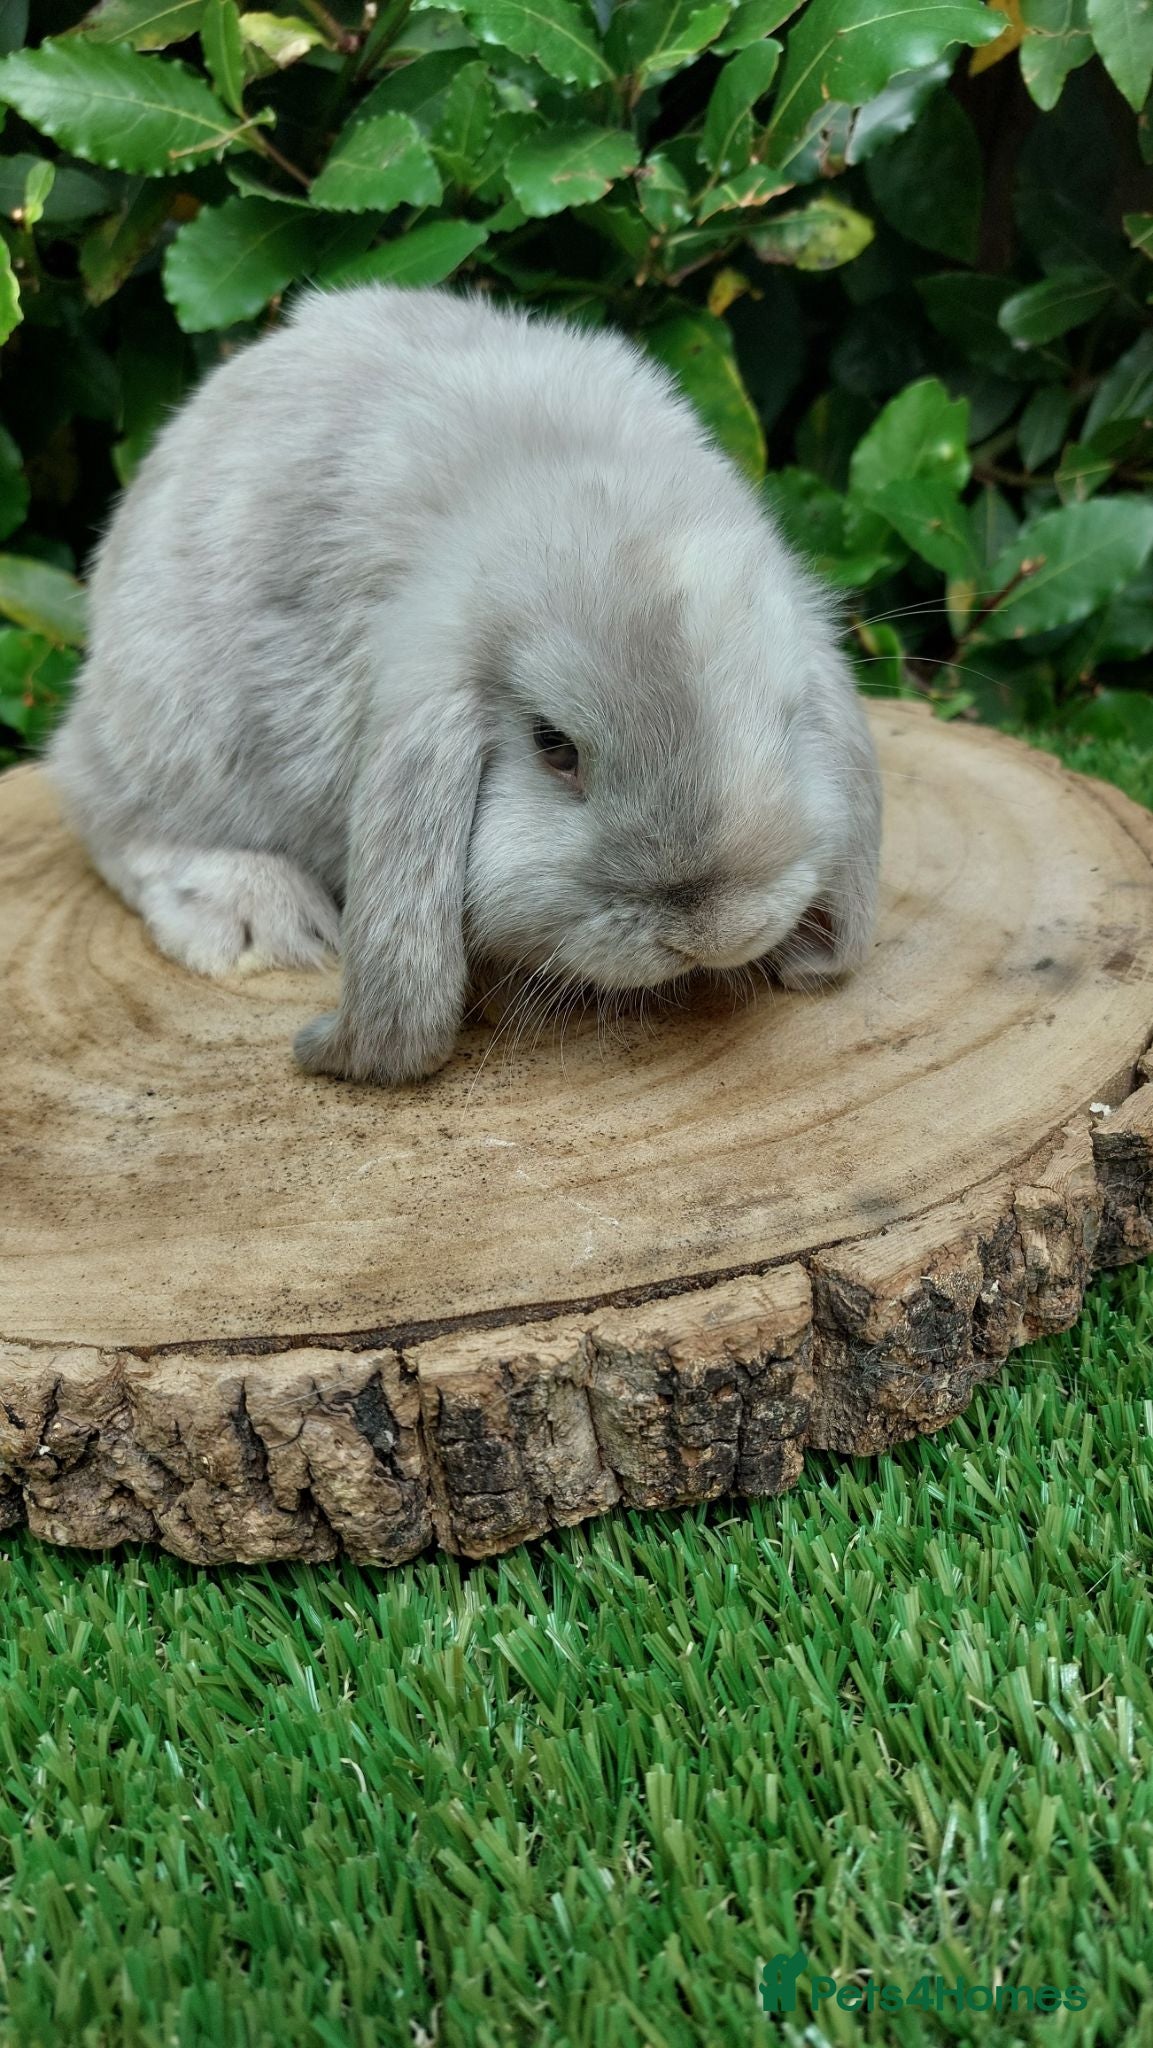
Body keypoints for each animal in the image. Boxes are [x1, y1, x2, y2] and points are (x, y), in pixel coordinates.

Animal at [47, 284, 882, 1086]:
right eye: (554, 746)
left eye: (787, 719)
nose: (718, 932)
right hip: (169, 730)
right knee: (111, 821)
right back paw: (260, 918)